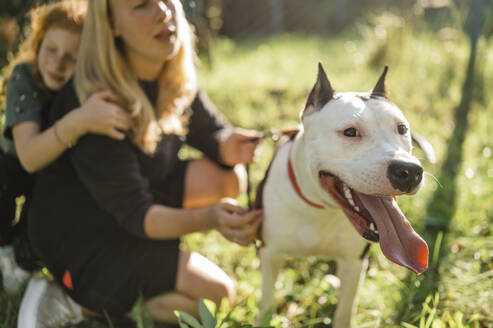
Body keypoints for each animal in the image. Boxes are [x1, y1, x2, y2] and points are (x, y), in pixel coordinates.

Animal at [258, 64, 426, 328]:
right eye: (350, 132)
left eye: (402, 129)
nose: (409, 171)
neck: (320, 209)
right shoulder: (269, 253)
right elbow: (266, 300)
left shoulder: (353, 263)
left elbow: (345, 310)